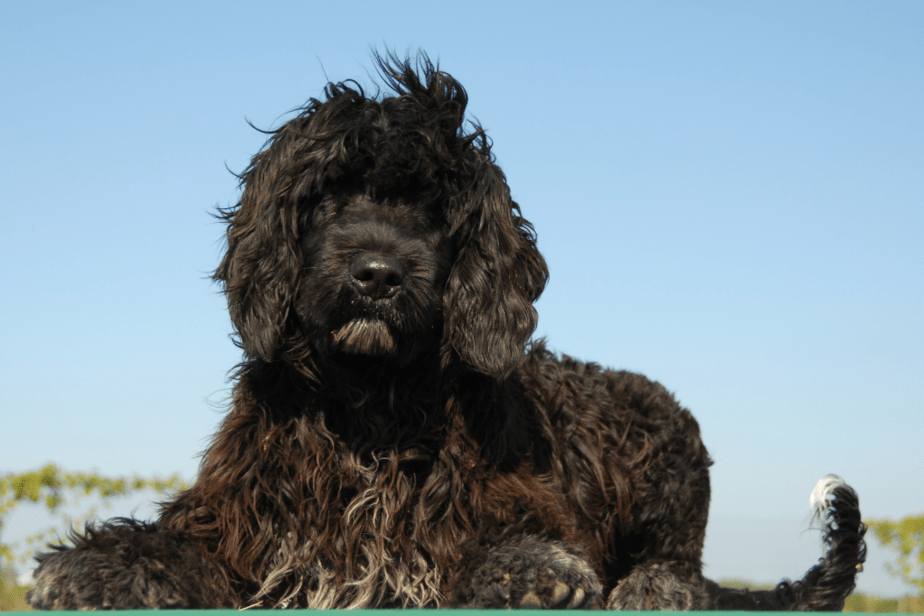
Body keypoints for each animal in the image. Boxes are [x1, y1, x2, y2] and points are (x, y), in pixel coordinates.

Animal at [27, 54, 868, 612]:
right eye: (328, 196)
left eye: (433, 209)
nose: (376, 274)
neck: (369, 406)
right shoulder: (242, 529)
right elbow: (174, 548)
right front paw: (94, 566)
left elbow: (515, 542)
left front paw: (532, 570)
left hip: (662, 448)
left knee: (684, 564)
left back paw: (653, 587)